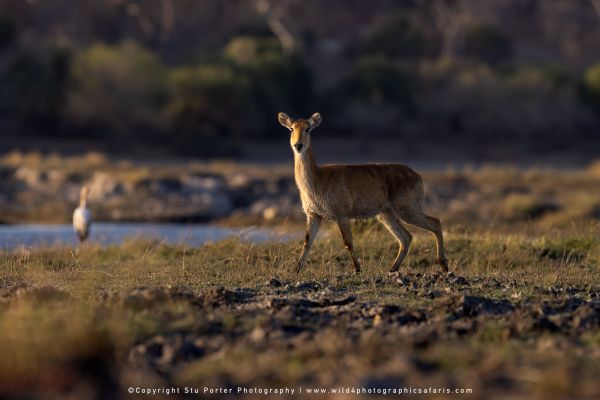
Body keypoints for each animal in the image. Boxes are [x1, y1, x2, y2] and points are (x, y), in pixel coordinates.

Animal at [278, 112, 448, 276]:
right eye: (292, 128)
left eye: (308, 128)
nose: (298, 145)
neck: (318, 178)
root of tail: (418, 175)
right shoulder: (313, 215)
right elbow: (307, 242)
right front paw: (295, 270)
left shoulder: (342, 215)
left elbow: (348, 242)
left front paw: (358, 269)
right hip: (386, 214)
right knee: (406, 237)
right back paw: (392, 269)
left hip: (407, 209)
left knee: (436, 222)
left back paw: (444, 265)